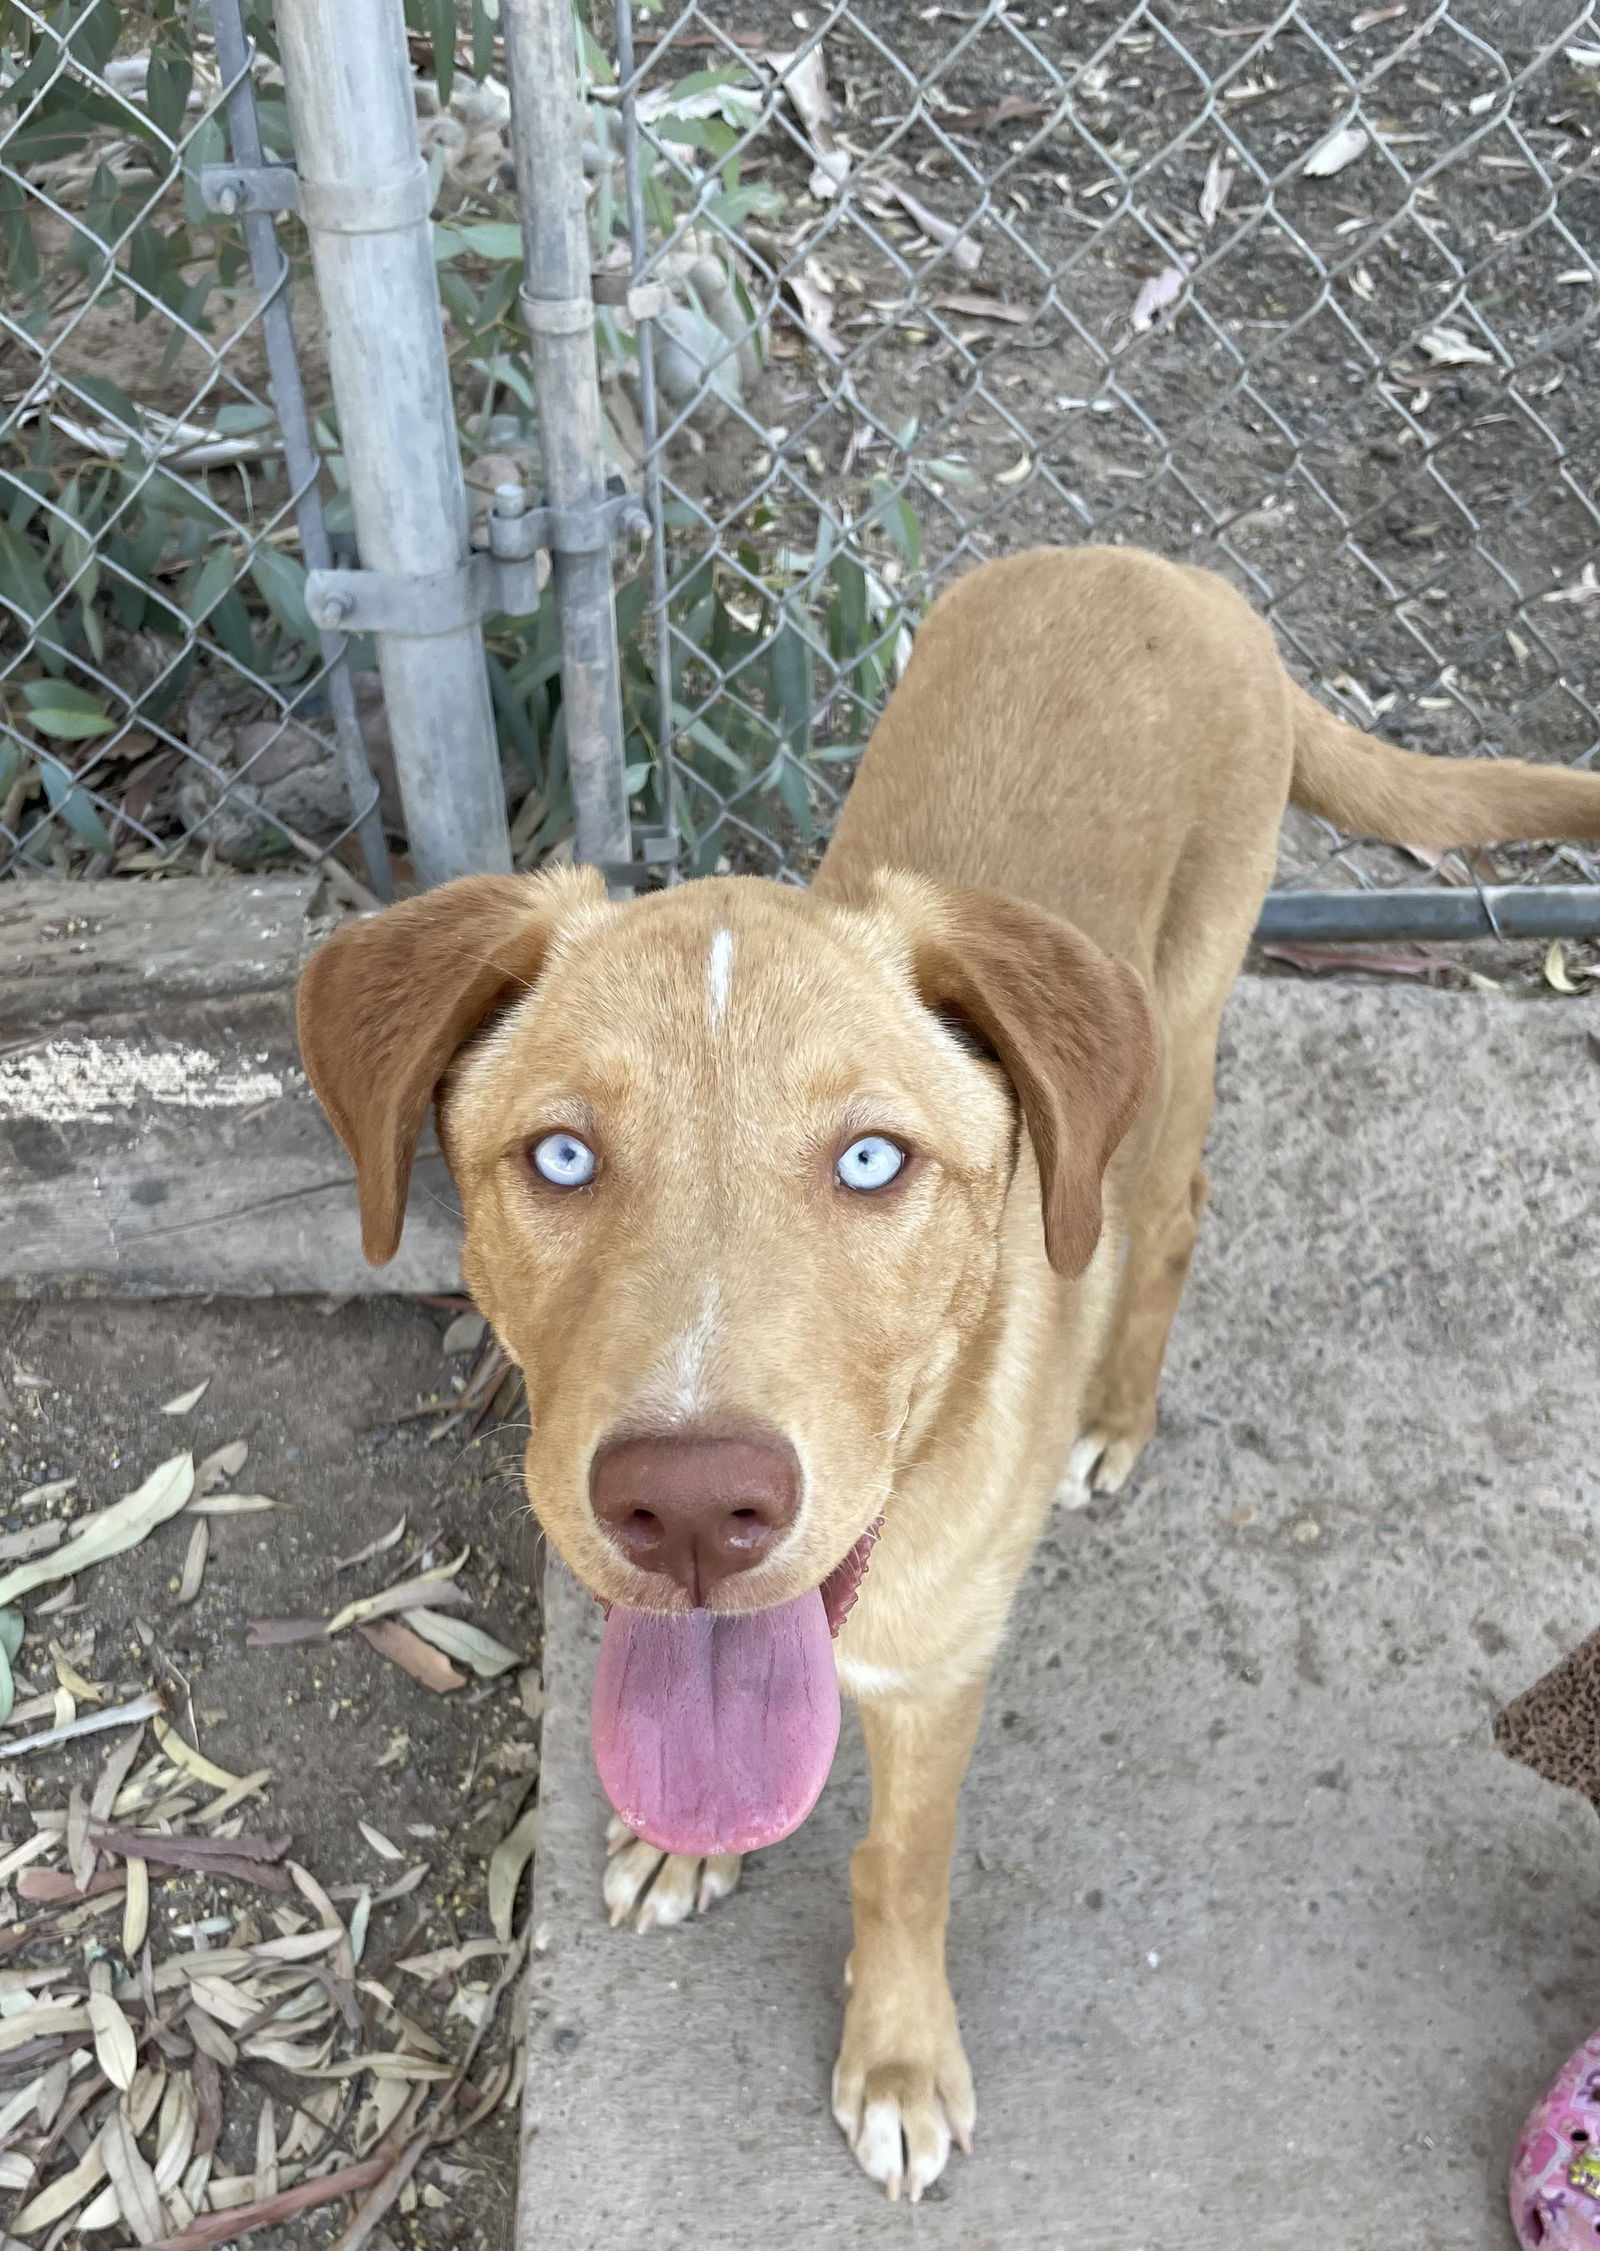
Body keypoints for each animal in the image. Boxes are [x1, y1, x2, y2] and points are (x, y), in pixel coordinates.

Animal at [297, 544, 1600, 2196]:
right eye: (561, 1155)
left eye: (872, 1159)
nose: (692, 1504)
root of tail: (1166, 566)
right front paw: (697, 1838)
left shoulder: (939, 1671)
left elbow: (898, 1867)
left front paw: (901, 2056)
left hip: (1177, 1030)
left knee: (1172, 1207)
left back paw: (1114, 1413)